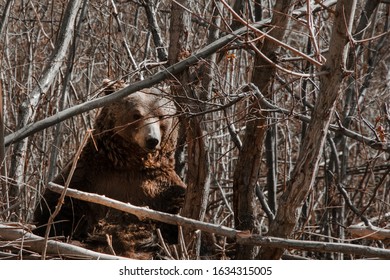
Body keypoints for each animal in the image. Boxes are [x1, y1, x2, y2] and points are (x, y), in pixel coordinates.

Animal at [33, 79, 186, 258]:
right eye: (137, 115)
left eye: (162, 116)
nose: (152, 140)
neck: (130, 163)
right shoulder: (89, 177)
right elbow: (57, 206)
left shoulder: (160, 187)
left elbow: (173, 211)